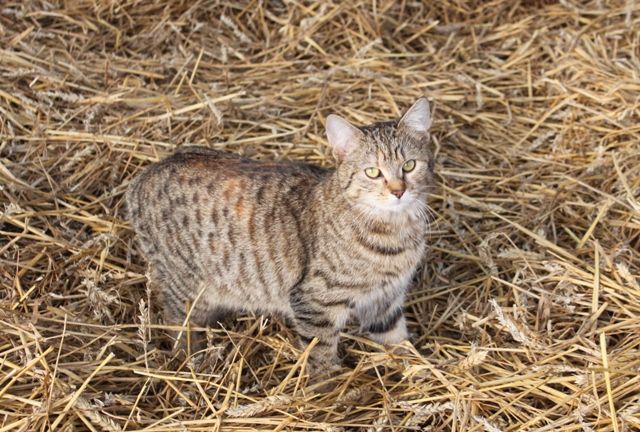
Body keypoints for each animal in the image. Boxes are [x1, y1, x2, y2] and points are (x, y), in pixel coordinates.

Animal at [125, 98, 436, 368]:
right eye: (373, 172)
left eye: (409, 166)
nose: (398, 191)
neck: (394, 231)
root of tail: (144, 175)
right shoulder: (314, 302)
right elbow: (320, 354)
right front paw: (327, 389)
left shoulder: (386, 300)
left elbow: (398, 341)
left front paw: (420, 368)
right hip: (187, 289)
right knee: (177, 321)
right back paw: (192, 359)